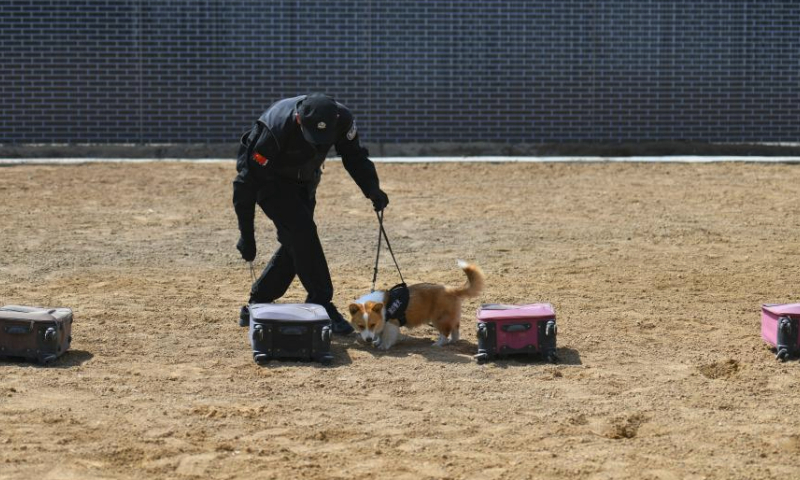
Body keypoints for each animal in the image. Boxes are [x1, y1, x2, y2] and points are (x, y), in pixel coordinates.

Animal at [346, 260, 484, 350]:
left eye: (372, 324)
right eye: (360, 326)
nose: (368, 340)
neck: (384, 308)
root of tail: (451, 289)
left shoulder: (390, 324)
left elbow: (386, 337)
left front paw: (383, 346)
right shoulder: (382, 324)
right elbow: (380, 335)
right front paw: (377, 342)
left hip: (438, 319)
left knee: (444, 333)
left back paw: (439, 344)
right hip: (449, 318)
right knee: (455, 330)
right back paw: (452, 341)